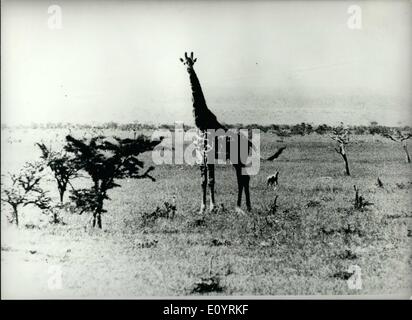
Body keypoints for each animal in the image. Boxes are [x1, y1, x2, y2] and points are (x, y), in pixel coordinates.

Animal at [180, 51, 254, 214]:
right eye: (184, 62)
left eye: (192, 62)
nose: (188, 69)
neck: (201, 123)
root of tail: (249, 143)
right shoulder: (201, 155)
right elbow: (203, 181)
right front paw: (202, 208)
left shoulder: (210, 154)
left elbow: (211, 181)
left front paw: (213, 207)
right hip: (235, 160)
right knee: (242, 178)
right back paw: (242, 207)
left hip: (240, 158)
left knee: (243, 178)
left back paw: (243, 207)